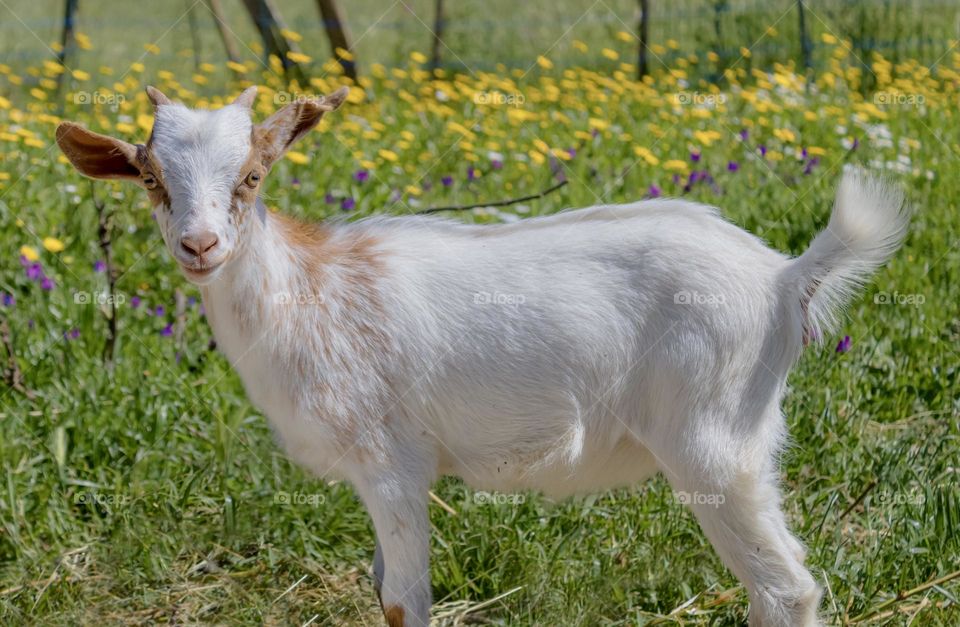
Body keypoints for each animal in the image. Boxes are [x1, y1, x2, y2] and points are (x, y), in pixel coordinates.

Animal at [56, 85, 909, 626]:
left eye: (252, 176)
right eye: (150, 179)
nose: (201, 246)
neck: (310, 292)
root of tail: (783, 276)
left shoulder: (392, 462)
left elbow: (403, 600)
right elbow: (381, 587)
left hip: (714, 443)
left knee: (786, 588)